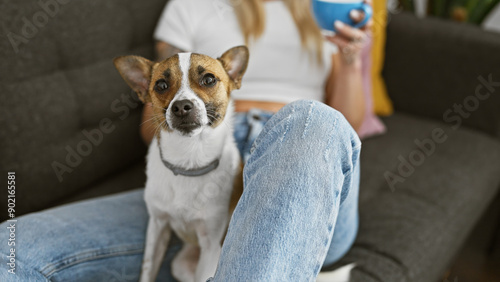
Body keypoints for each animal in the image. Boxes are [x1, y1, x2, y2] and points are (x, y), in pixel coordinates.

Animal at [112, 45, 247, 280]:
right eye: (161, 85)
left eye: (209, 80)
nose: (182, 106)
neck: (189, 161)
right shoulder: (157, 228)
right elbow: (148, 270)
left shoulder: (211, 245)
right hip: (179, 265)